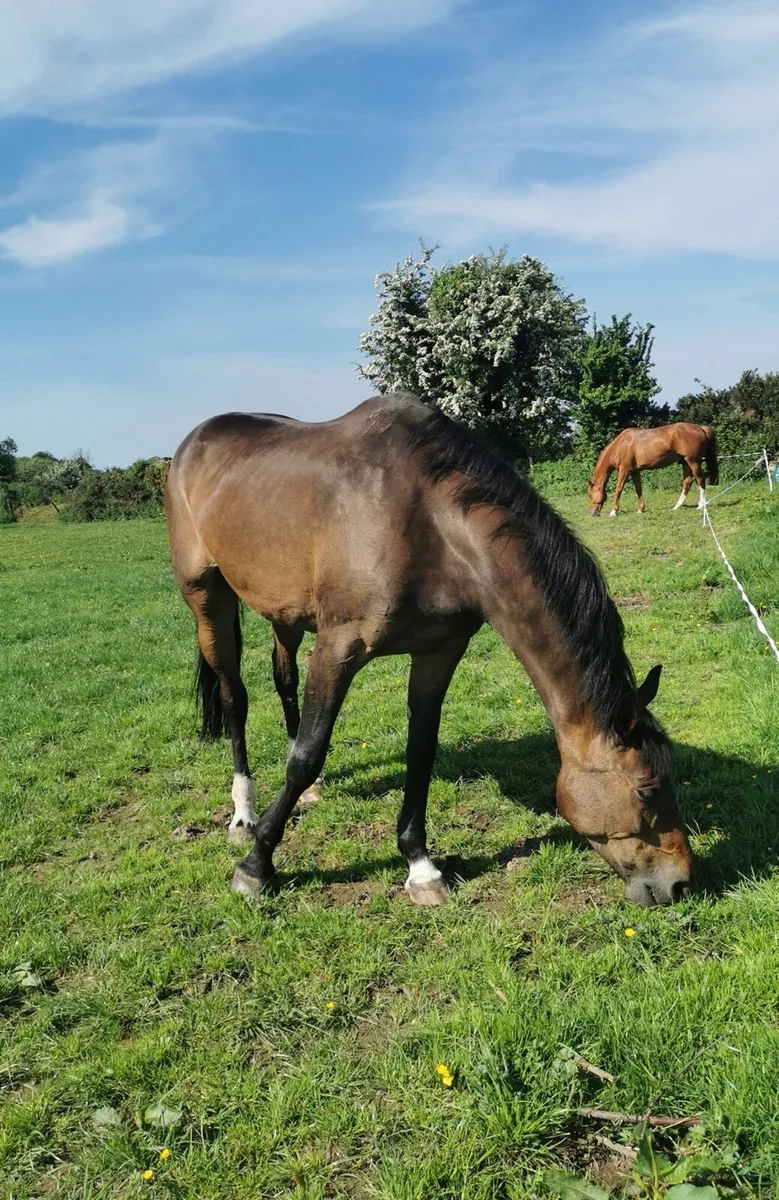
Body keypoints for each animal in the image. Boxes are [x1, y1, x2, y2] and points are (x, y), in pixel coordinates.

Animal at [165, 394, 693, 908]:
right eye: (647, 790)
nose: (681, 883)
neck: (429, 521)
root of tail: (193, 442)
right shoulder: (339, 646)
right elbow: (306, 756)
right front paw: (256, 867)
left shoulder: (439, 652)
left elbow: (420, 752)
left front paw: (420, 867)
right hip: (207, 599)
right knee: (234, 697)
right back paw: (243, 815)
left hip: (285, 612)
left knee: (283, 678)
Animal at [587, 423, 719, 516]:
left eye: (590, 495)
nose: (592, 513)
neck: (620, 445)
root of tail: (700, 428)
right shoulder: (634, 471)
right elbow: (638, 489)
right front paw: (640, 509)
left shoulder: (624, 470)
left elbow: (618, 489)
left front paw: (613, 512)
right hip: (685, 462)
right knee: (687, 482)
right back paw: (677, 506)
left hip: (693, 461)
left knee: (700, 479)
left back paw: (701, 505)